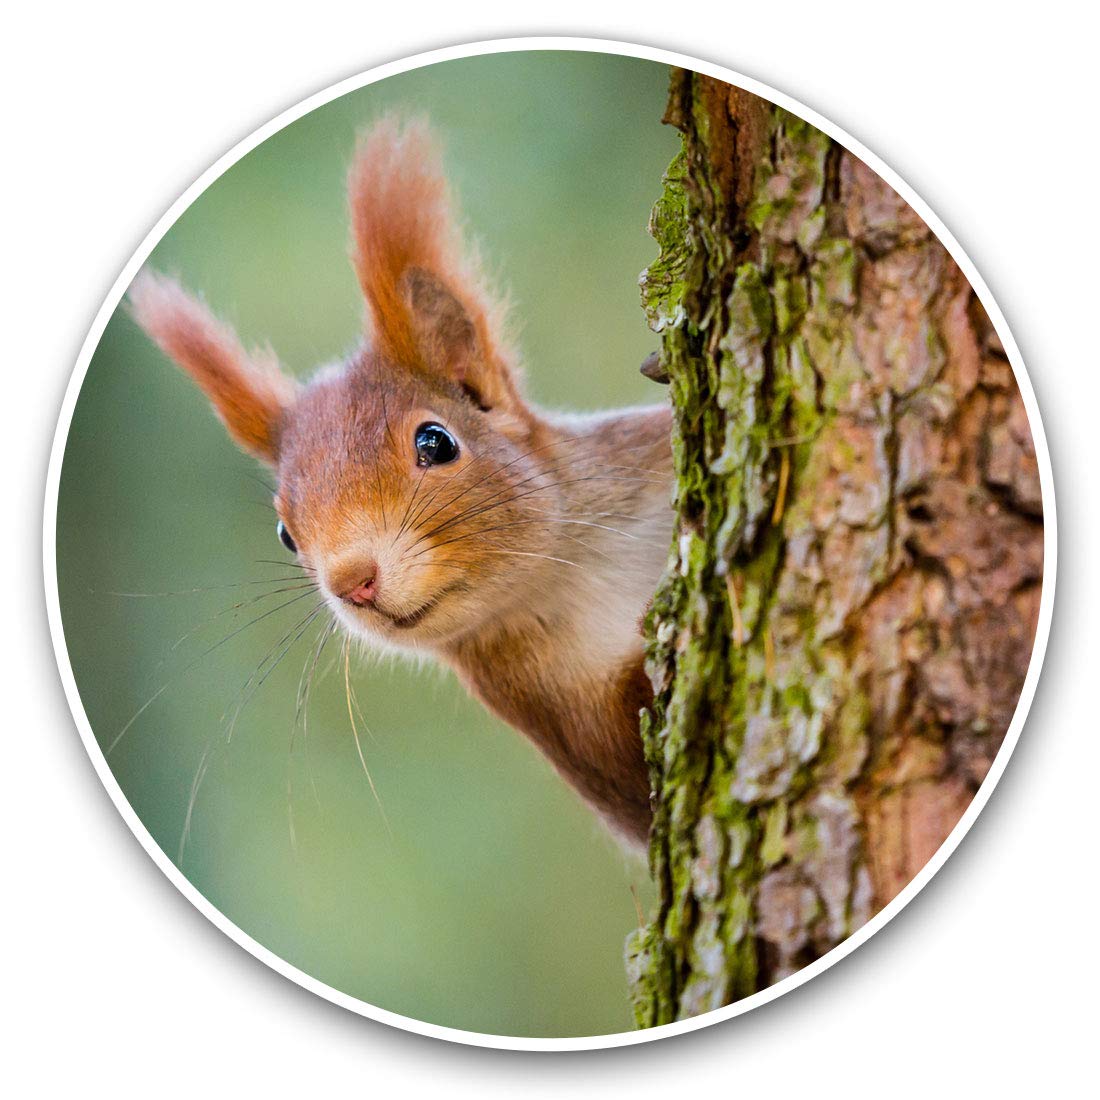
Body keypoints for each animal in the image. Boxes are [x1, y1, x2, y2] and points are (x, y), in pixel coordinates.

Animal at [129, 118, 674, 846]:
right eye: (285, 534)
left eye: (435, 442)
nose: (352, 581)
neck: (573, 573)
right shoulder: (567, 725)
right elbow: (638, 781)